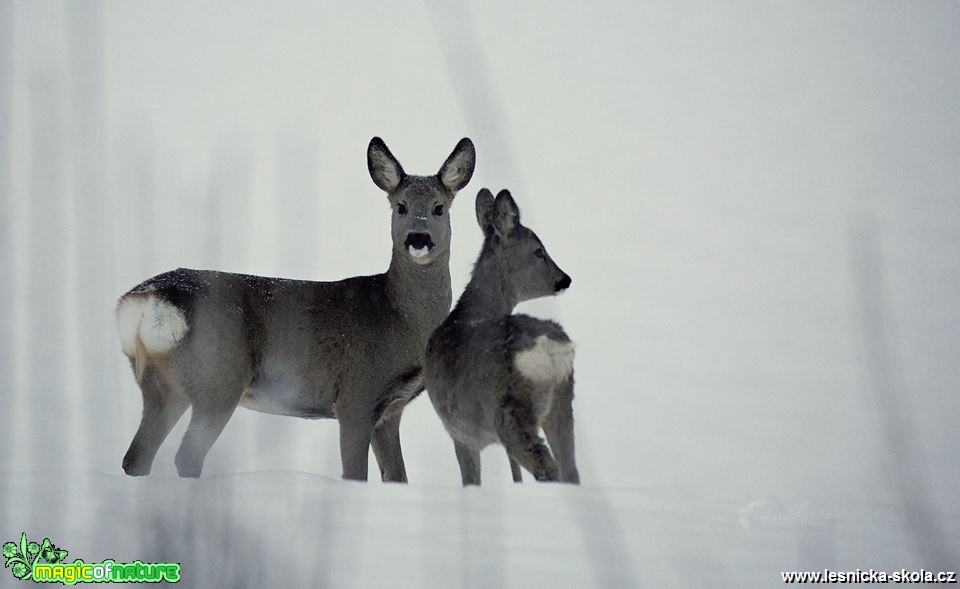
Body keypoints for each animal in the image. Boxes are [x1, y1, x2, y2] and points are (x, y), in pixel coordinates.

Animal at [116, 137, 476, 478]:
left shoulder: (391, 410)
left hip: (164, 385)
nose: (418, 238)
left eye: (439, 207)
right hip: (218, 376)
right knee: (186, 456)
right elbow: (355, 474)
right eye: (400, 206)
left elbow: (397, 476)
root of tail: (146, 299)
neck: (398, 316)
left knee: (136, 457)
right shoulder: (357, 395)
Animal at [426, 188, 576, 482]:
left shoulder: (460, 432)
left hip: (511, 412)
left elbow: (471, 482)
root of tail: (547, 348)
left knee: (547, 466)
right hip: (562, 402)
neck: (470, 313)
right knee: (570, 468)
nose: (564, 279)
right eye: (538, 251)